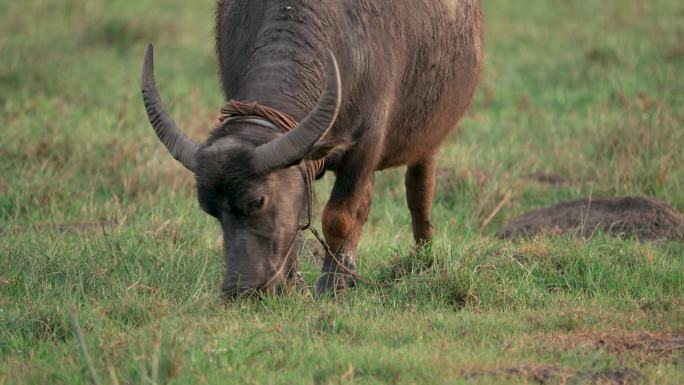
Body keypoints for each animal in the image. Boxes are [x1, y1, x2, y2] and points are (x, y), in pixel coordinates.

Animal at [142, 0, 484, 296]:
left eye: (257, 202)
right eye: (209, 209)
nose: (239, 290)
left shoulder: (367, 145)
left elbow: (339, 216)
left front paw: (331, 287)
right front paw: (294, 284)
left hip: (430, 139)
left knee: (419, 192)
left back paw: (423, 257)